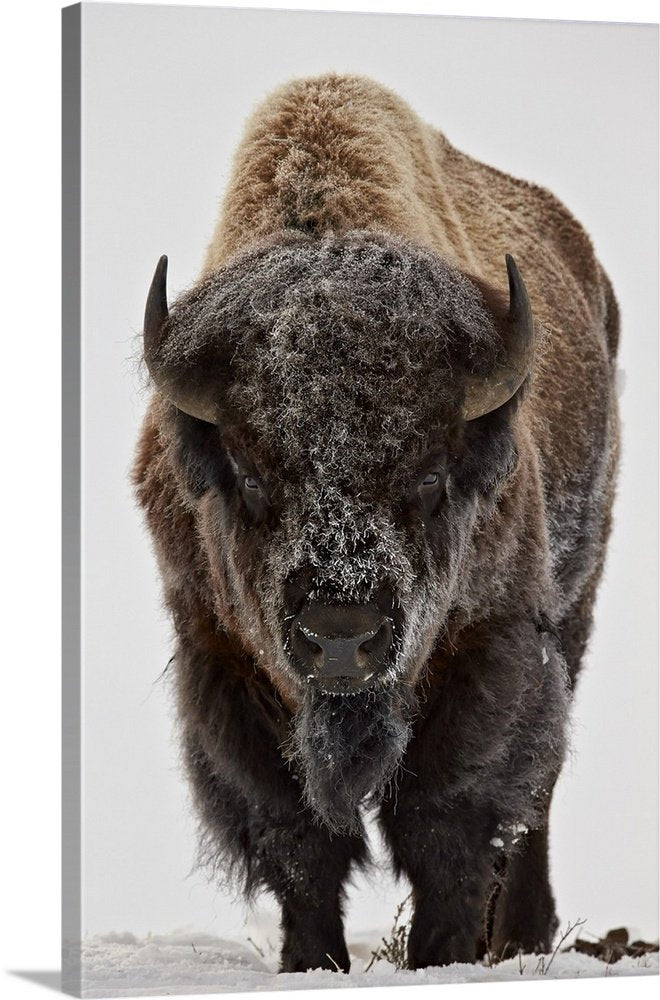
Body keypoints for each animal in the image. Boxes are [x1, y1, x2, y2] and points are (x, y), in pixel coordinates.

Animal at [133, 74, 619, 973]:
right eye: (249, 476)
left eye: (429, 476)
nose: (341, 636)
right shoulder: (221, 659)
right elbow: (296, 834)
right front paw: (311, 962)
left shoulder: (490, 644)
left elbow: (449, 817)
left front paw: (441, 956)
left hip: (573, 609)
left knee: (536, 793)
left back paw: (522, 936)